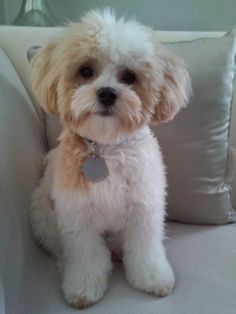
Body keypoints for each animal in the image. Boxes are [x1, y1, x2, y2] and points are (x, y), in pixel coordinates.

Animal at [30, 9, 192, 310]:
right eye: (85, 71)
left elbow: (145, 248)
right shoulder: (77, 217)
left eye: (129, 75)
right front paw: (82, 287)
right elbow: (85, 256)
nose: (106, 92)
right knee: (61, 248)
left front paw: (153, 277)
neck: (106, 148)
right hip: (44, 217)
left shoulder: (143, 207)